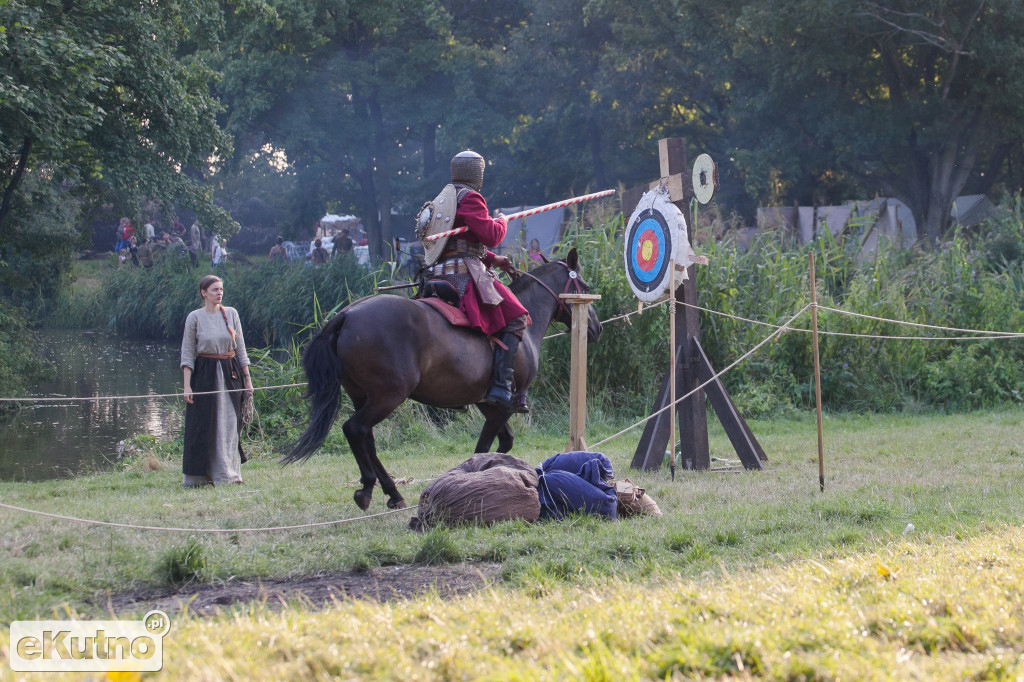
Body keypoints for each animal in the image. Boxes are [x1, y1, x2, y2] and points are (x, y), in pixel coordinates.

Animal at [282, 246, 598, 507]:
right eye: (584, 286)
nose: (596, 328)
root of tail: (346, 315)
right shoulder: (504, 405)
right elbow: (482, 448)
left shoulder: (488, 403)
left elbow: (504, 442)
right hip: (388, 396)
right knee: (356, 429)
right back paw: (368, 489)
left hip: (364, 395)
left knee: (366, 437)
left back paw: (392, 493)